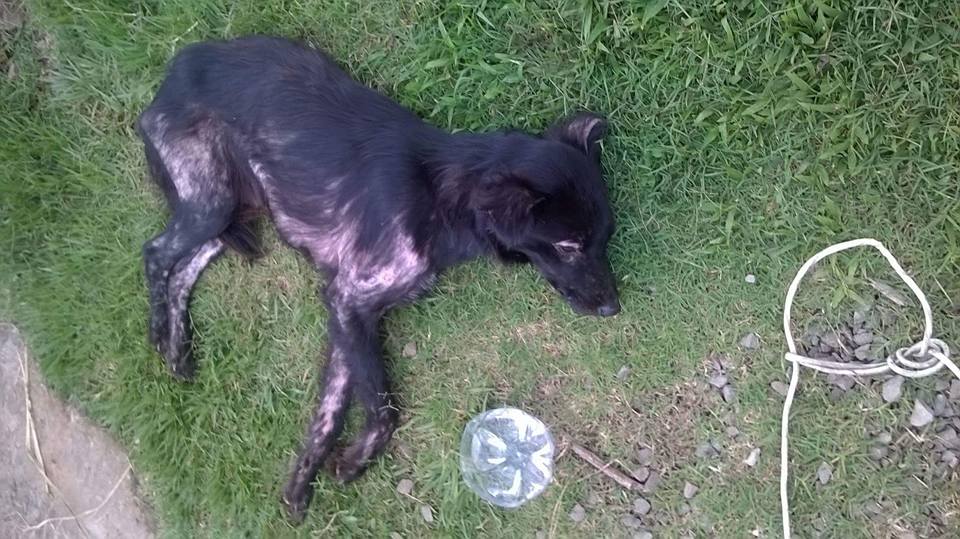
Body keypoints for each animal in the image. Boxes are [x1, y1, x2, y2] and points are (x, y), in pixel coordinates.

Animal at [138, 36, 620, 521]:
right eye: (568, 246)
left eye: (604, 237)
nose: (613, 307)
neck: (440, 196)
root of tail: (174, 73)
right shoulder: (349, 300)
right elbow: (385, 408)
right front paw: (353, 464)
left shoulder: (350, 314)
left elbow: (331, 410)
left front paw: (301, 484)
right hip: (212, 200)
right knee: (156, 253)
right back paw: (161, 336)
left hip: (238, 207)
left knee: (191, 261)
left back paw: (179, 351)